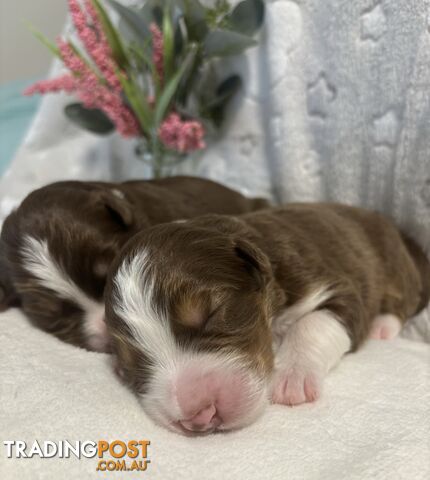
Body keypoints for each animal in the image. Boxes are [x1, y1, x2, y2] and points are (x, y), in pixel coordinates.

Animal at [104, 202, 430, 436]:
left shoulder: (337, 287)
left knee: (404, 300)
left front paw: (292, 378)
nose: (200, 417)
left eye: (211, 315)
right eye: (129, 365)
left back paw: (383, 325)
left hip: (392, 264)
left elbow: (312, 324)